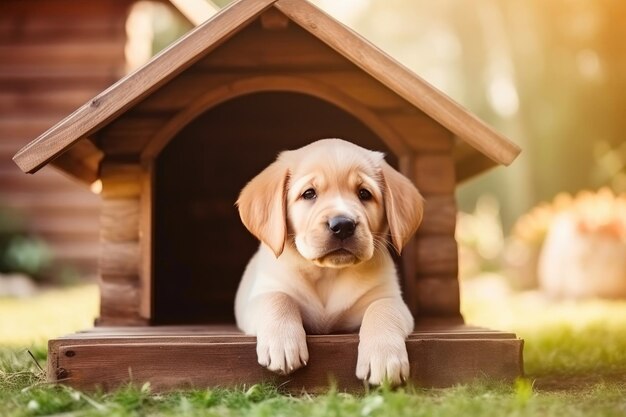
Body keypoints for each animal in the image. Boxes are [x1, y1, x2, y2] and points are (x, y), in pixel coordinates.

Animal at [235, 138, 424, 386]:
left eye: (364, 194)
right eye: (309, 194)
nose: (343, 225)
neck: (328, 273)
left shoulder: (389, 298)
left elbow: (382, 308)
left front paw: (383, 357)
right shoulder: (257, 297)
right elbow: (278, 298)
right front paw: (283, 343)